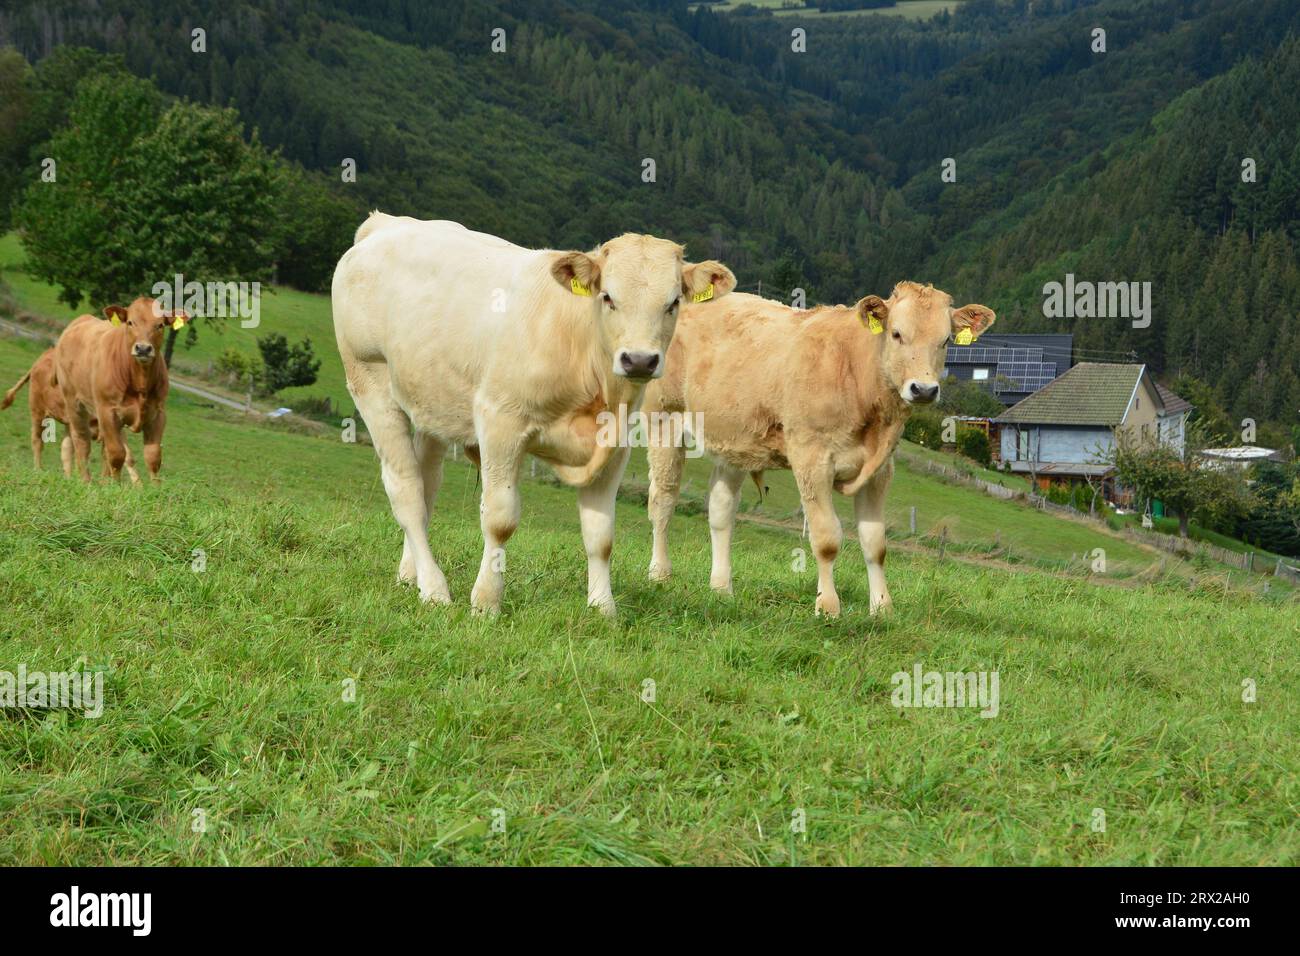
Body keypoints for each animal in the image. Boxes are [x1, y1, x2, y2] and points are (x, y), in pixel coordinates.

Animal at [1, 348, 137, 479]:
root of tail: (42, 358)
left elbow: (114, 456)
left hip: (67, 421)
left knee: (65, 448)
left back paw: (68, 477)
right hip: (37, 411)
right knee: (37, 440)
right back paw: (38, 470)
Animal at [54, 297, 187, 483]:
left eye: (160, 325)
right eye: (130, 322)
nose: (143, 348)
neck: (140, 382)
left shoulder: (158, 414)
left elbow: (153, 456)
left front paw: (156, 487)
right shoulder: (108, 411)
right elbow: (117, 454)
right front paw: (115, 485)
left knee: (103, 450)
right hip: (74, 402)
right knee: (81, 441)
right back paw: (86, 481)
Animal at [332, 212, 736, 615]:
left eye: (673, 302)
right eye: (607, 297)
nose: (638, 360)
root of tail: (386, 223)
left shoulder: (616, 444)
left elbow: (601, 534)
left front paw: (603, 609)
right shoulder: (501, 422)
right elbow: (499, 520)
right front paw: (486, 603)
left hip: (434, 402)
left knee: (428, 482)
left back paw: (410, 575)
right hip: (371, 381)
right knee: (408, 491)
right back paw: (434, 588)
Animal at [644, 281, 995, 617]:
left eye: (946, 341)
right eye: (897, 333)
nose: (923, 389)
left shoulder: (880, 470)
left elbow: (875, 543)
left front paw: (882, 609)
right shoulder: (812, 460)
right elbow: (826, 538)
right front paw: (827, 607)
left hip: (734, 441)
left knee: (720, 510)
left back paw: (721, 588)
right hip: (664, 419)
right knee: (664, 498)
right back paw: (660, 574)